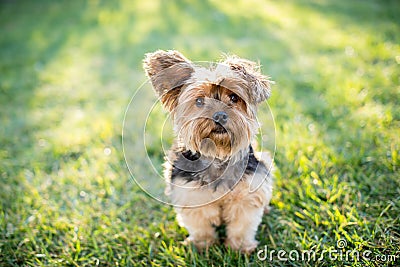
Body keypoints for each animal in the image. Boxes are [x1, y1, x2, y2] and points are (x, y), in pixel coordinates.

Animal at [142, 50, 274, 253]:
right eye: (199, 101)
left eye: (234, 98)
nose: (220, 115)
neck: (217, 155)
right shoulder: (191, 194)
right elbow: (200, 225)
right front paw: (202, 246)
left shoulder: (246, 194)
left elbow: (242, 225)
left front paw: (240, 248)